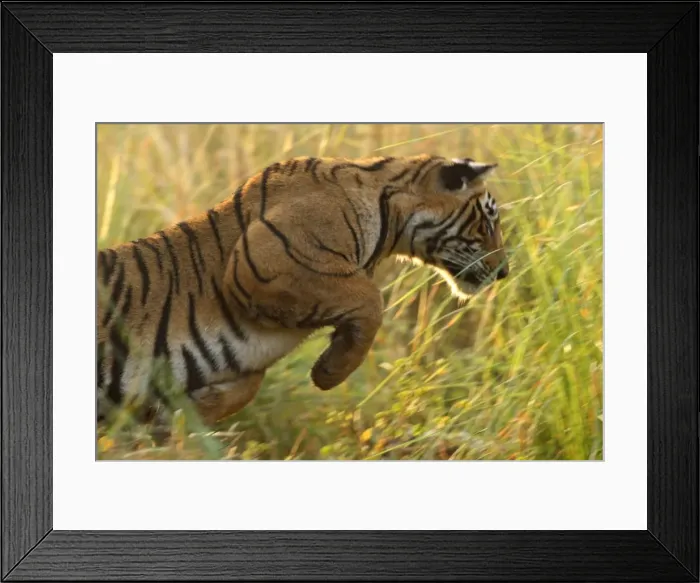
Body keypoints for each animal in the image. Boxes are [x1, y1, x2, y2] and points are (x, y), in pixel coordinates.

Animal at [97, 154, 509, 426]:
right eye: (488, 221)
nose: (505, 271)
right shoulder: (263, 260)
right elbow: (371, 300)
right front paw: (329, 372)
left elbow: (247, 383)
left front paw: (191, 411)